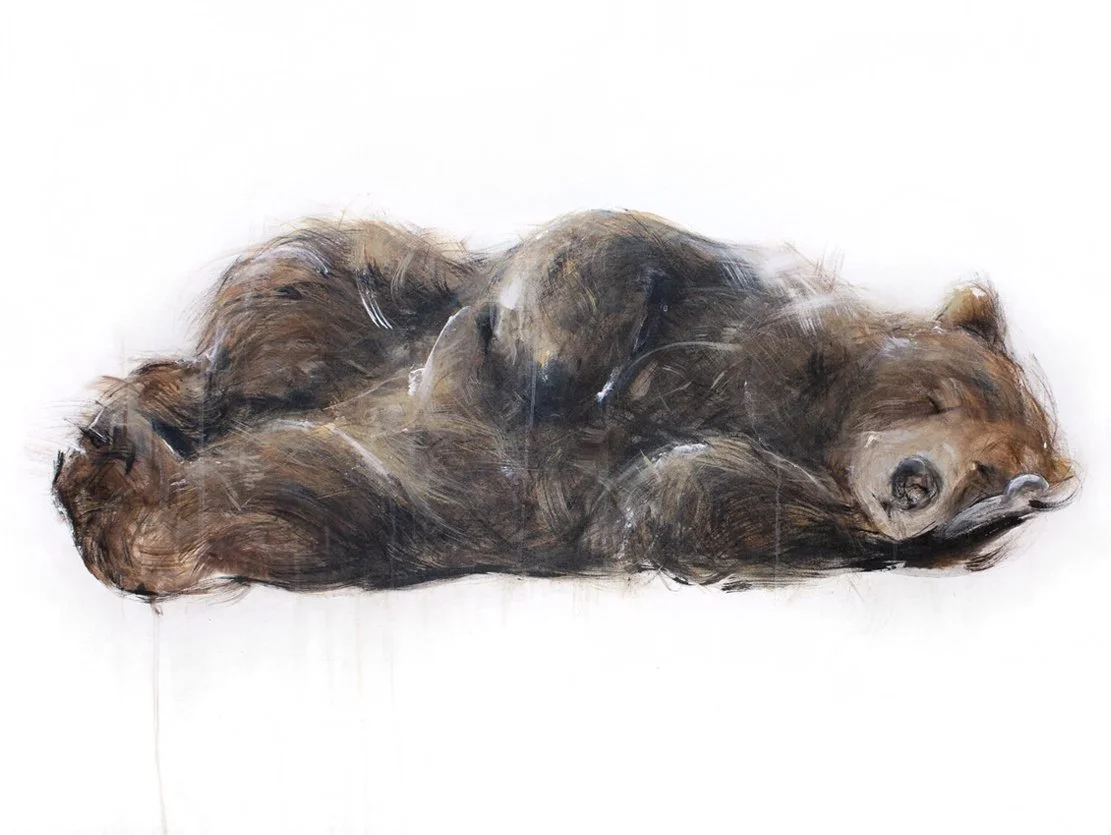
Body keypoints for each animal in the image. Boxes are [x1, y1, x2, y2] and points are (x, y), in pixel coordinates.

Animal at [51, 210, 1076, 598]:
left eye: (997, 475)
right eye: (942, 390)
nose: (915, 484)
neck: (814, 419)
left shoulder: (782, 500)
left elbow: (683, 496)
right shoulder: (744, 317)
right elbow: (609, 246)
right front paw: (540, 351)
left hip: (390, 507)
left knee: (262, 498)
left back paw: (115, 466)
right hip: (349, 298)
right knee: (294, 291)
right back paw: (154, 401)